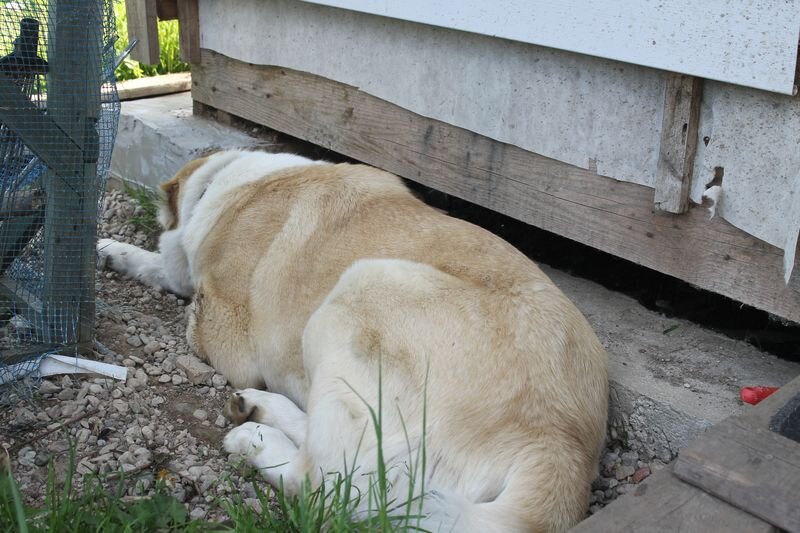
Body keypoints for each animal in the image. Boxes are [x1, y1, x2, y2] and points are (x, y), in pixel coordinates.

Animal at [101, 150, 612, 532]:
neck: (233, 186)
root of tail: (559, 450)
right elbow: (157, 266)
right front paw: (111, 252)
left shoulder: (224, 330)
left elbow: (184, 295)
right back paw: (261, 409)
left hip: (359, 289)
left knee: (323, 483)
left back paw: (254, 440)